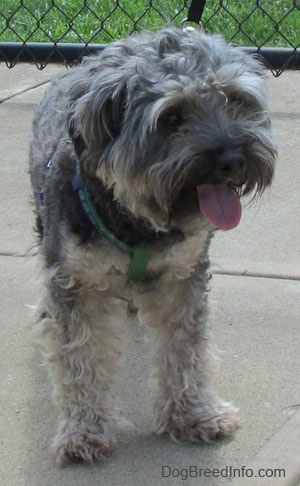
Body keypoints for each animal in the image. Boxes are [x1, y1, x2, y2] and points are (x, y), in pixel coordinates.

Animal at [29, 25, 278, 464]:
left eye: (235, 99)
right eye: (172, 117)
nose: (233, 159)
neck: (135, 221)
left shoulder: (183, 275)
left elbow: (185, 348)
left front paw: (194, 414)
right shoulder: (75, 283)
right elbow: (79, 358)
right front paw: (84, 431)